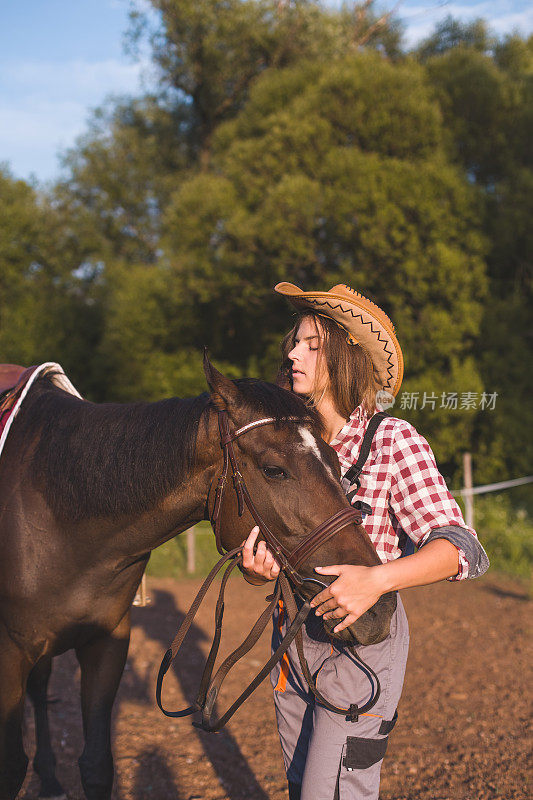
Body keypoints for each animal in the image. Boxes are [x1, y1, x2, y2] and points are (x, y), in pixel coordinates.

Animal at [0, 358, 394, 800]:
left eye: (335, 462)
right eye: (274, 470)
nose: (377, 606)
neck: (57, 514)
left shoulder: (107, 644)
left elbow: (97, 765)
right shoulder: (10, 653)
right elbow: (11, 767)